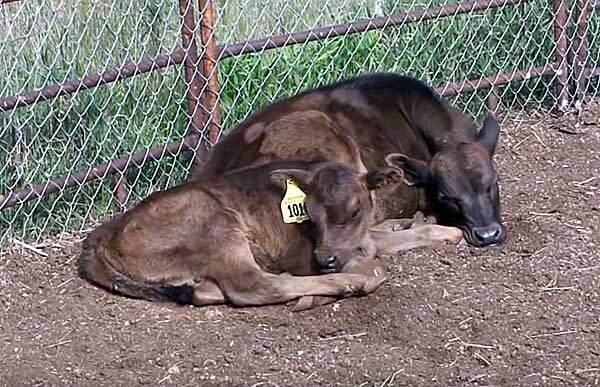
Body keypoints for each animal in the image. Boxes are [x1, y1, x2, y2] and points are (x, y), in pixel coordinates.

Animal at [77, 159, 400, 308]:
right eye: (311, 213)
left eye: (355, 211)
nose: (325, 258)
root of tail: (98, 237)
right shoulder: (300, 256)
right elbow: (376, 268)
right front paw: (361, 275)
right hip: (217, 225)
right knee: (254, 286)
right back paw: (349, 283)